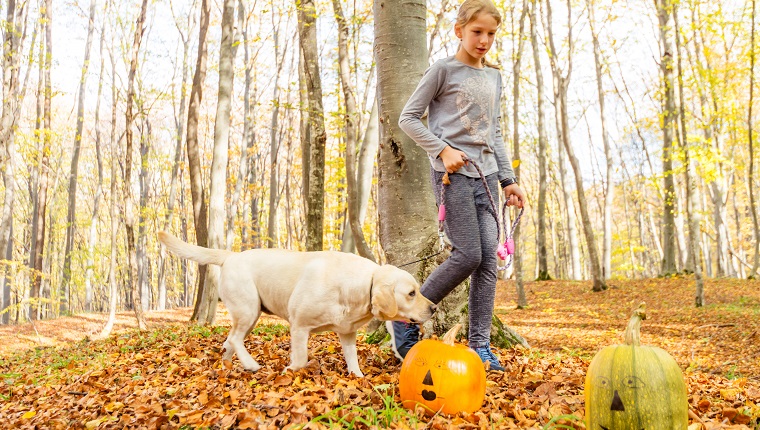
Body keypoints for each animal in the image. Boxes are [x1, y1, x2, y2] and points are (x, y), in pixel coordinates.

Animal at [157, 232, 436, 376]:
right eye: (411, 293)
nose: (433, 308)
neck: (362, 284)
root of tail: (231, 256)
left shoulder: (347, 333)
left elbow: (353, 360)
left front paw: (358, 378)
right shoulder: (299, 326)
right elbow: (301, 359)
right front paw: (290, 370)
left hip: (250, 314)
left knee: (229, 341)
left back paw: (228, 365)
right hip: (249, 310)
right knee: (235, 339)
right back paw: (250, 364)